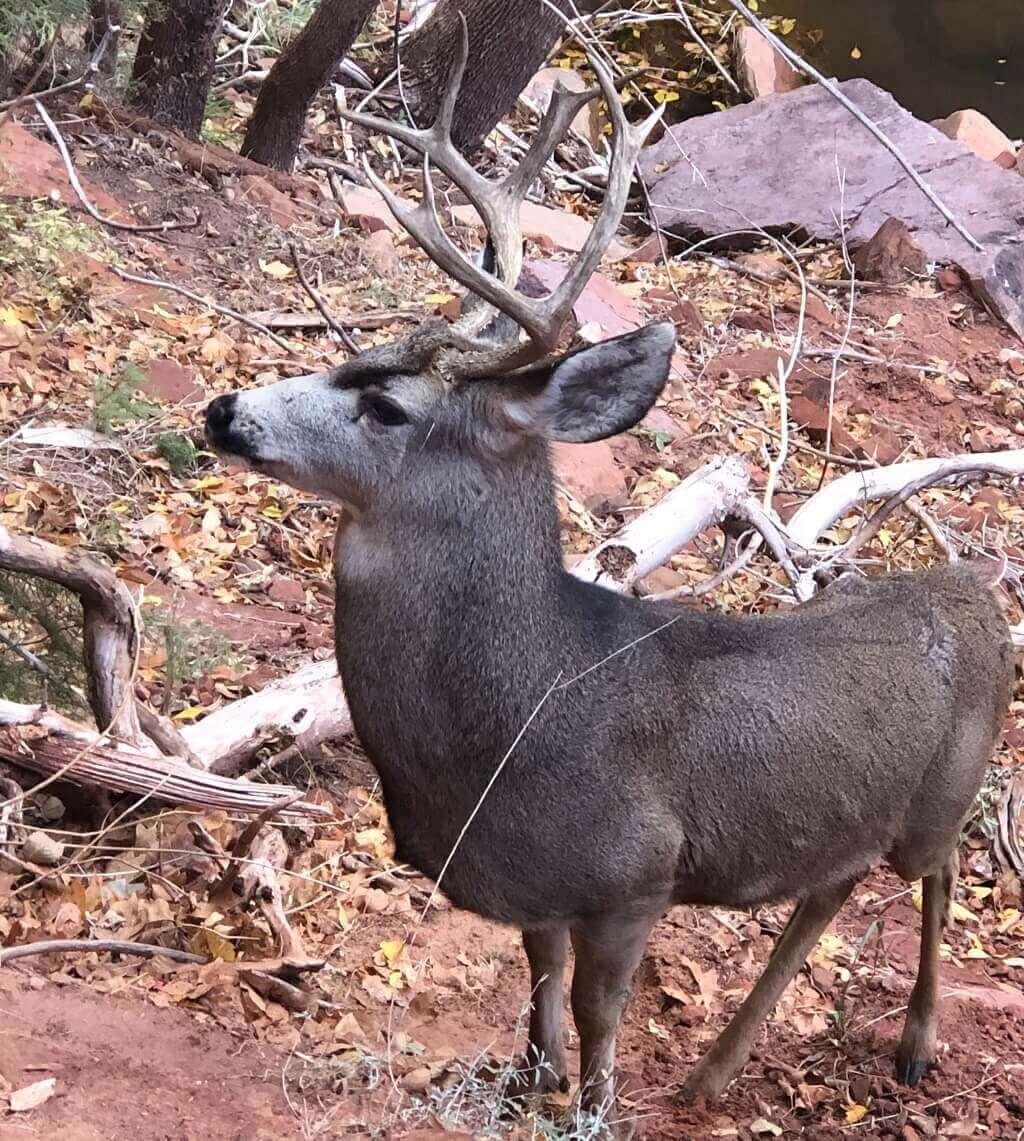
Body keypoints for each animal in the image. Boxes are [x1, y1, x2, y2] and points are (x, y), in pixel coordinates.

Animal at [202, 22, 1013, 1136]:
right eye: (345, 358)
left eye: (385, 407)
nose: (223, 410)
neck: (515, 722)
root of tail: (980, 595)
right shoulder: (537, 887)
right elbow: (538, 977)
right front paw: (527, 1077)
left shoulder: (636, 876)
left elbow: (598, 1007)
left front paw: (591, 1105)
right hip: (858, 819)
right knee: (827, 889)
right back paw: (715, 1072)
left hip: (945, 794)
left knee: (937, 876)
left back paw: (915, 1045)